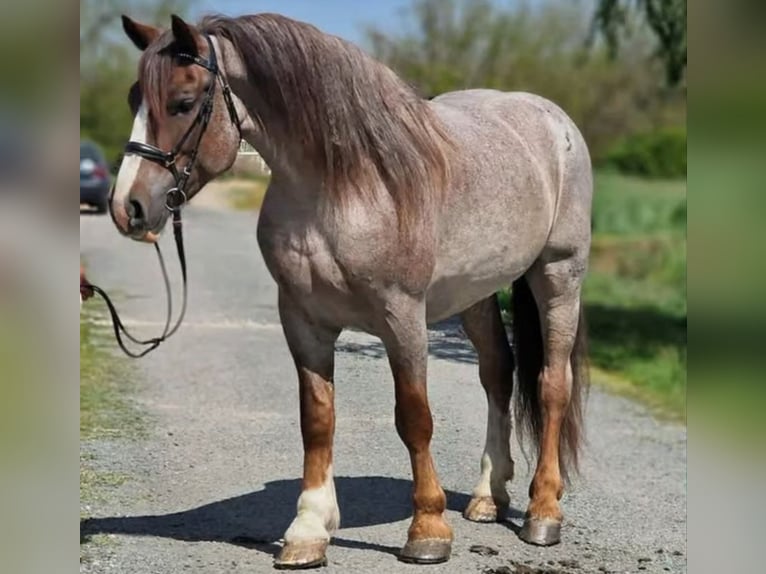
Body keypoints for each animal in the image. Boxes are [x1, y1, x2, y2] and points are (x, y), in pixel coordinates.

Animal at [110, 12, 592, 569]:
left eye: (184, 102)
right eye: (132, 98)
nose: (127, 208)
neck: (348, 187)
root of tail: (554, 121)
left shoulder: (402, 318)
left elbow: (414, 417)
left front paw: (427, 530)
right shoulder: (304, 321)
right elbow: (317, 419)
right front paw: (308, 531)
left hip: (558, 276)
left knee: (552, 385)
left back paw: (543, 512)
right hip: (475, 295)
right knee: (498, 373)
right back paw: (488, 497)